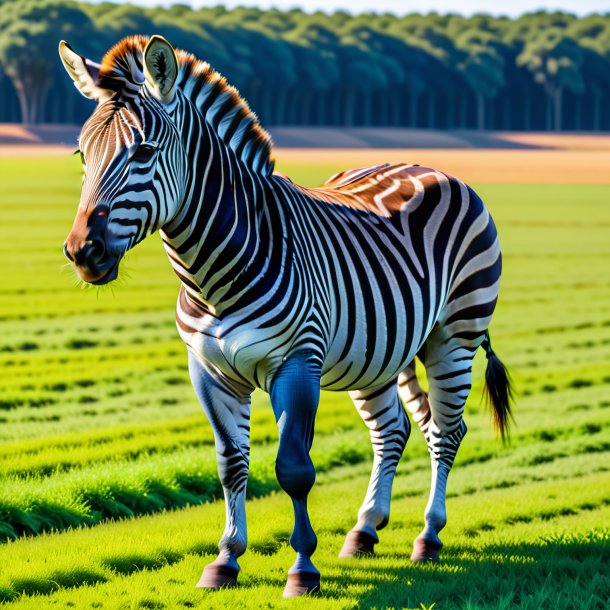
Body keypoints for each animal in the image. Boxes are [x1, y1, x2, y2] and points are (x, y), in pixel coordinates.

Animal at [59, 34, 510, 592]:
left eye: (143, 152)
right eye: (83, 154)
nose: (83, 252)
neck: (212, 279)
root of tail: (427, 166)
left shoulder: (298, 363)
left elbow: (294, 467)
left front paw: (302, 569)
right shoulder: (208, 371)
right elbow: (231, 465)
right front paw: (225, 558)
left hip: (454, 336)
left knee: (447, 432)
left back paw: (428, 536)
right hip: (385, 349)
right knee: (396, 430)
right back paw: (365, 530)